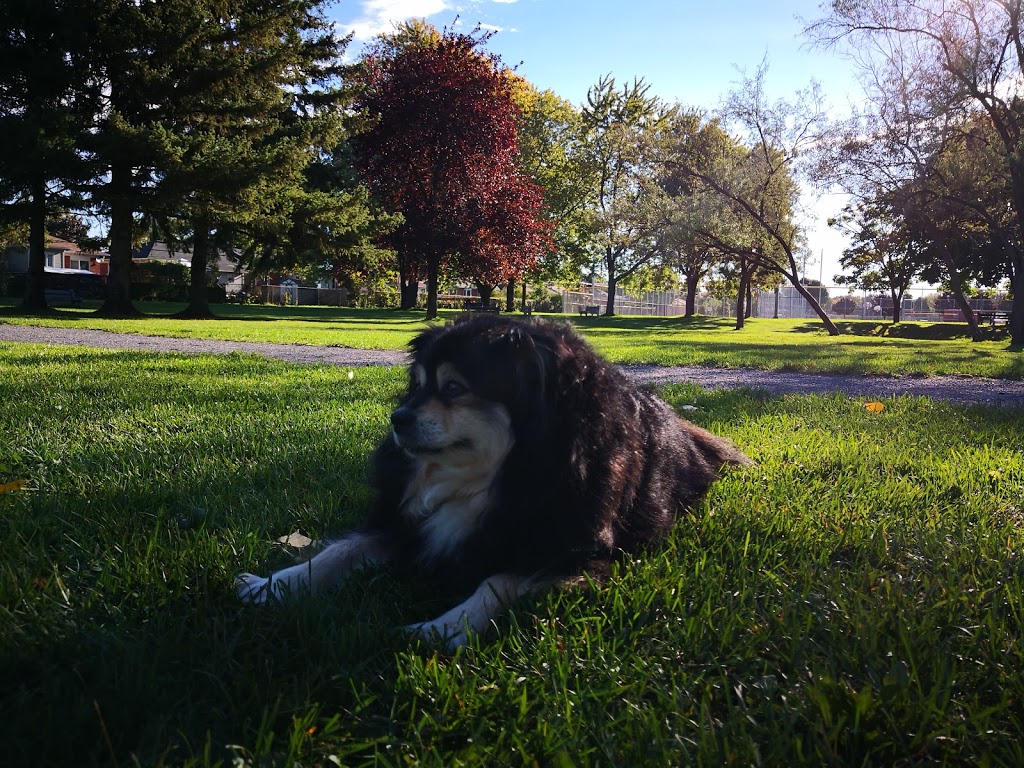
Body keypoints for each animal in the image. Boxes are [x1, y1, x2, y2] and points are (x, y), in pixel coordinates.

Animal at [239, 315, 753, 647]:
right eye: (417, 386)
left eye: (453, 388)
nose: (397, 420)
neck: (489, 475)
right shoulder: (402, 525)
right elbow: (337, 552)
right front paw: (272, 585)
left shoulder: (575, 555)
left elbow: (497, 581)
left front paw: (442, 628)